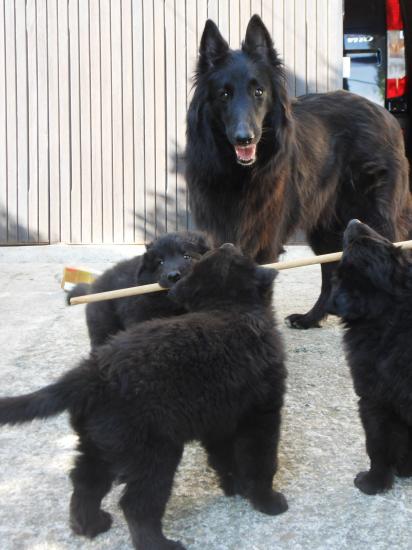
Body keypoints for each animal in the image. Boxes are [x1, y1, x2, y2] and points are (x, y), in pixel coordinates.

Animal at [0, 247, 288, 550]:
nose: (229, 245)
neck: (229, 307)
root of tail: (93, 372)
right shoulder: (261, 414)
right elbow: (261, 462)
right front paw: (267, 501)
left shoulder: (219, 418)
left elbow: (225, 457)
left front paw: (235, 487)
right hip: (154, 452)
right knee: (136, 504)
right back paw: (160, 543)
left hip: (99, 442)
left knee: (86, 483)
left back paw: (90, 525)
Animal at [187, 15, 412, 330]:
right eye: (224, 94)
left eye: (259, 92)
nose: (245, 139)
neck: (238, 174)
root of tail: (385, 114)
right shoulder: (221, 232)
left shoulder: (264, 241)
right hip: (327, 227)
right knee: (331, 269)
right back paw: (311, 317)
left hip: (376, 219)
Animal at [328, 222, 412, 498]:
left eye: (352, 246)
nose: (354, 221)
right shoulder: (377, 399)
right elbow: (380, 444)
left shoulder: (371, 399)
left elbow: (376, 445)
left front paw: (371, 483)